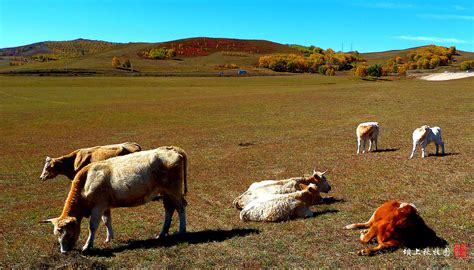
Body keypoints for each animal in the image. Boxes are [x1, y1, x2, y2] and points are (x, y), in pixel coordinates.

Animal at [40, 146, 188, 253]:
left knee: (180, 207)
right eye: (56, 234)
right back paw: (162, 233)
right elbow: (107, 221)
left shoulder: (98, 206)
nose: (64, 251)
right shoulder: (105, 206)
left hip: (173, 190)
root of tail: (171, 149)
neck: (86, 180)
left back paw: (182, 230)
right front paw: (109, 238)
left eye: (69, 234)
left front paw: (87, 246)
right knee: (169, 209)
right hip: (166, 193)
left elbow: (93, 226)